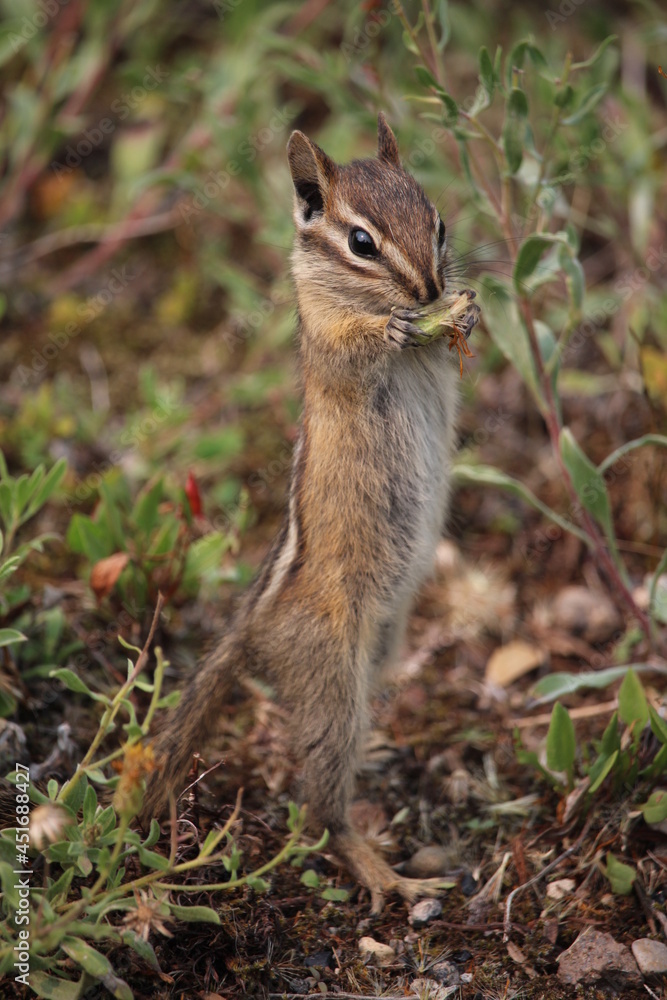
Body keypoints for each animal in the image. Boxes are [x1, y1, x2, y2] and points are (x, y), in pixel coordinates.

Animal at [142, 114, 472, 912]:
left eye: (438, 222)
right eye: (360, 242)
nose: (431, 287)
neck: (366, 299)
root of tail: (251, 628)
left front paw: (463, 313)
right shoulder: (325, 340)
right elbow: (352, 351)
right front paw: (397, 330)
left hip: (383, 641)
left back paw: (376, 749)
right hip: (330, 672)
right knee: (320, 804)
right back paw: (382, 870)